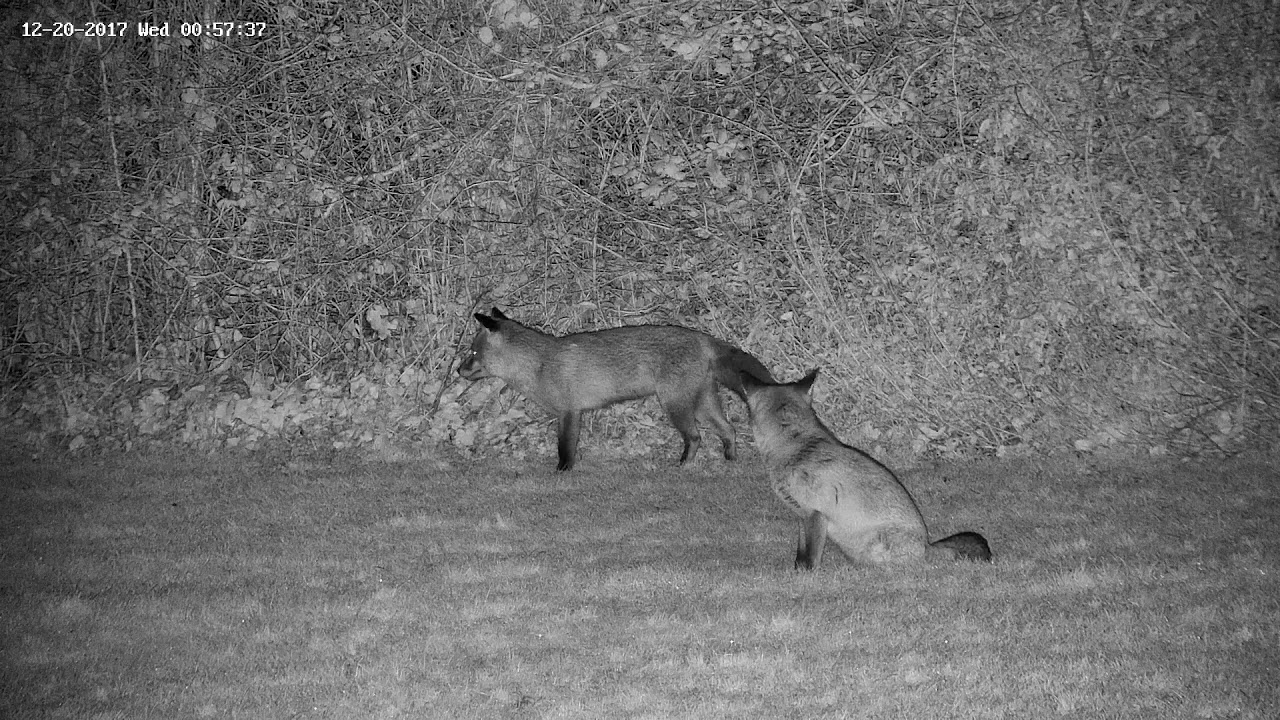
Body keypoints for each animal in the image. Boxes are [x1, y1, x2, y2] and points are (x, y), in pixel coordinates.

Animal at [457, 307, 775, 471]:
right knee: (729, 430)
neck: (539, 365)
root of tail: (702, 337)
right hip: (702, 403)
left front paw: (562, 474)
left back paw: (682, 466)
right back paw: (730, 462)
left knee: (696, 438)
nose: (458, 371)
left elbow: (564, 449)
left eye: (472, 353)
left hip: (675, 405)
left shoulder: (569, 412)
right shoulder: (573, 413)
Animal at [741, 369, 992, 569]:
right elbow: (800, 555)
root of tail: (926, 546)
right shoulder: (801, 514)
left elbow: (810, 559)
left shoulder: (815, 513)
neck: (797, 446)